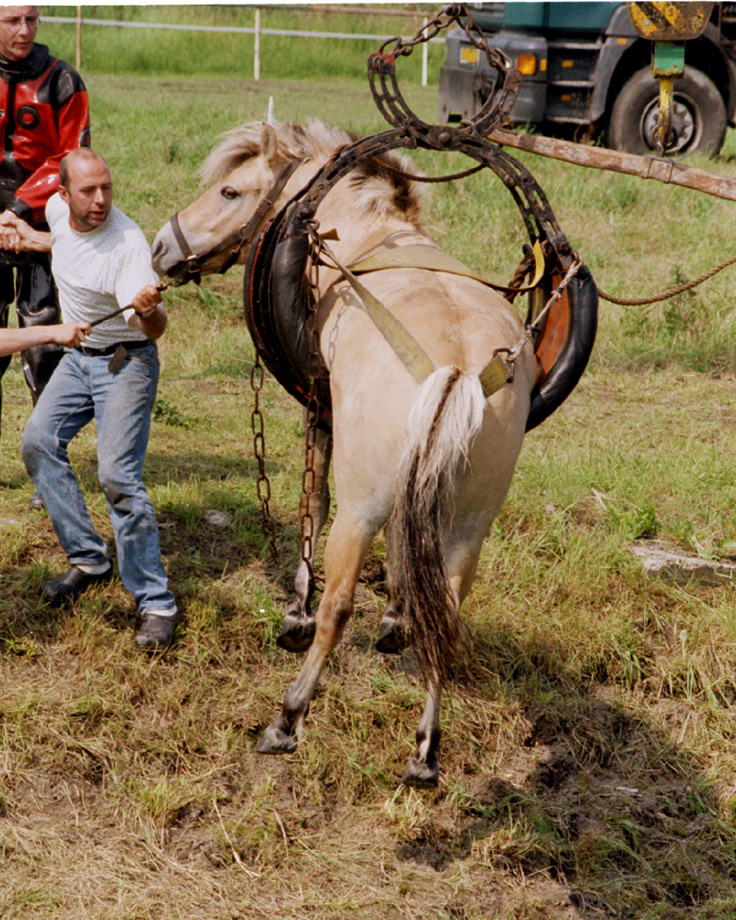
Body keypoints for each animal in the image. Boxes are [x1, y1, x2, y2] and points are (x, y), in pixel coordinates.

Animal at [152, 119, 540, 786]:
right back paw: (425, 751)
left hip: (363, 510)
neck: (366, 239)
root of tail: (459, 370)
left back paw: (288, 718)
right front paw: (396, 619)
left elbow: (313, 502)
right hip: (471, 522)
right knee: (448, 614)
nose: (158, 248)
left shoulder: (321, 409)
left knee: (340, 604)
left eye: (229, 191)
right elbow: (405, 553)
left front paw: (296, 612)